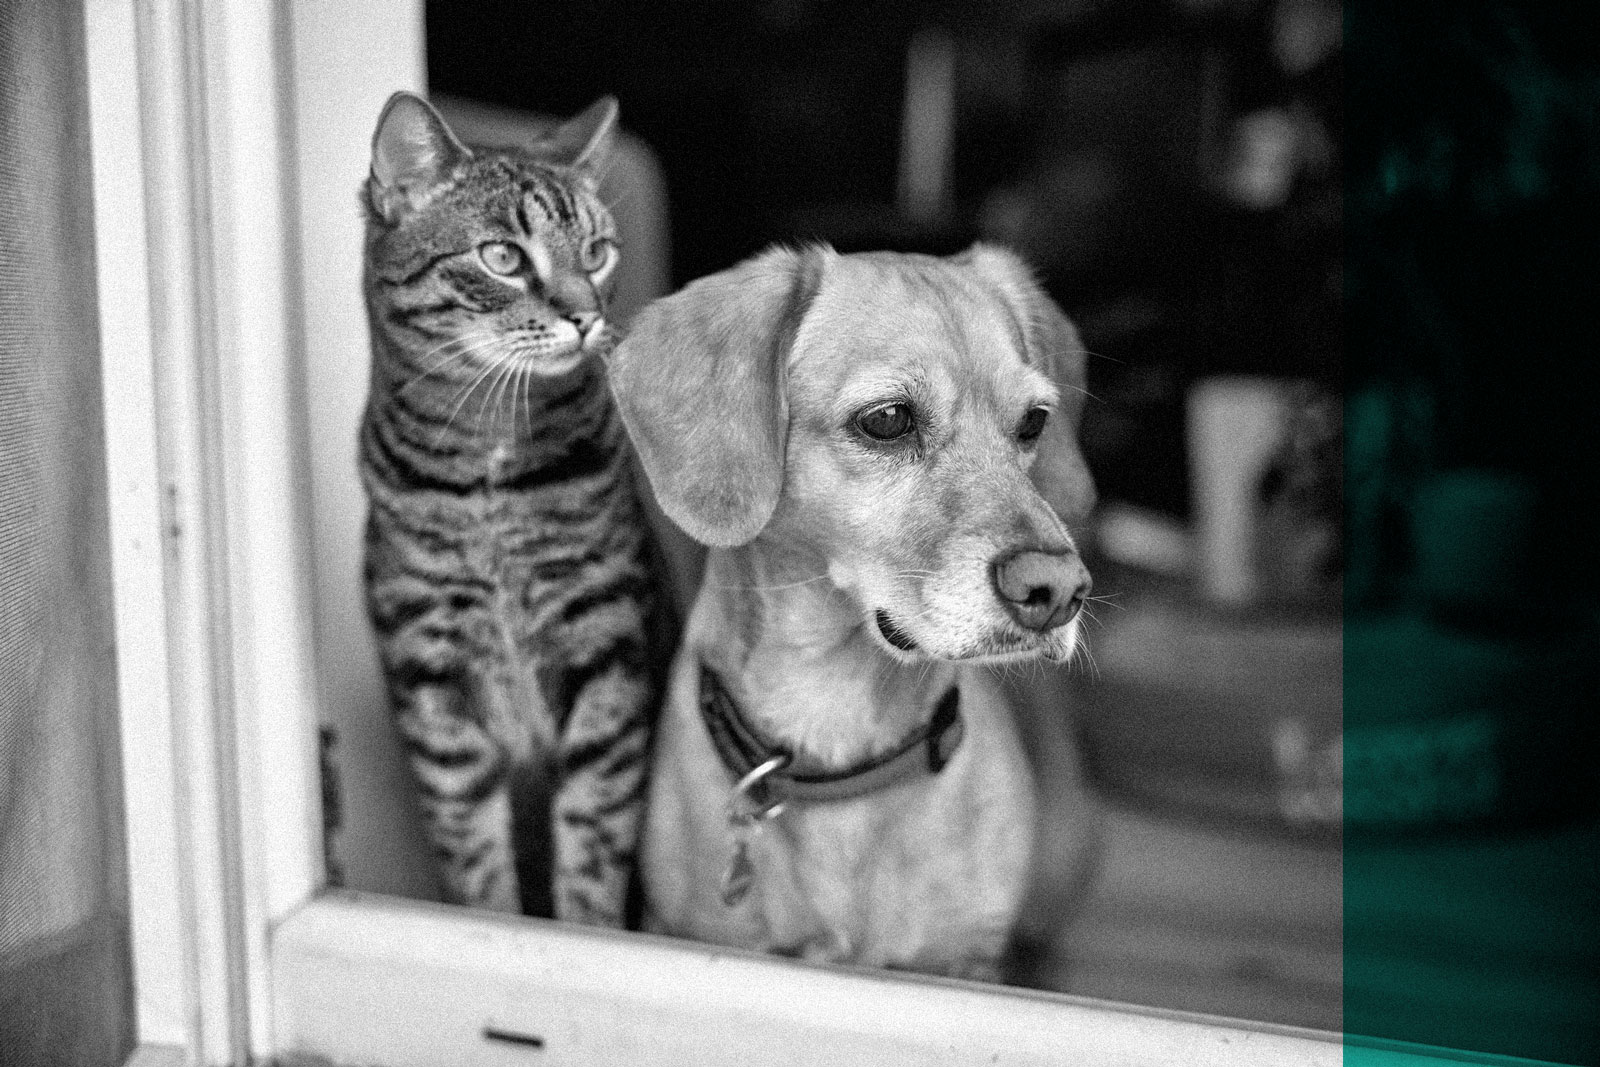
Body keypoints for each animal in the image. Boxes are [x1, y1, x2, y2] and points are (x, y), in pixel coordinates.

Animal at [358, 91, 668, 927]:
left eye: (596, 252)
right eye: (503, 258)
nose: (586, 316)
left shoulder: (608, 644)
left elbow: (595, 835)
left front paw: (587, 935)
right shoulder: (430, 670)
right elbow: (470, 847)